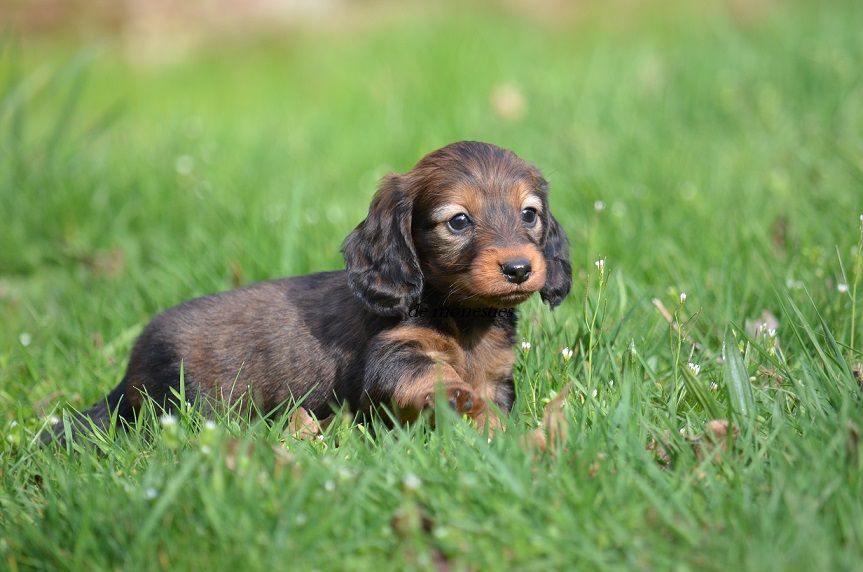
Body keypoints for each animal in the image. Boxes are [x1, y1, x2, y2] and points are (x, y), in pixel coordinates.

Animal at [50, 141, 572, 440]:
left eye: (529, 214)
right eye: (458, 221)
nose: (519, 268)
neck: (463, 318)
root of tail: (128, 376)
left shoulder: (497, 375)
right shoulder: (391, 354)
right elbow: (425, 376)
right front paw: (459, 401)